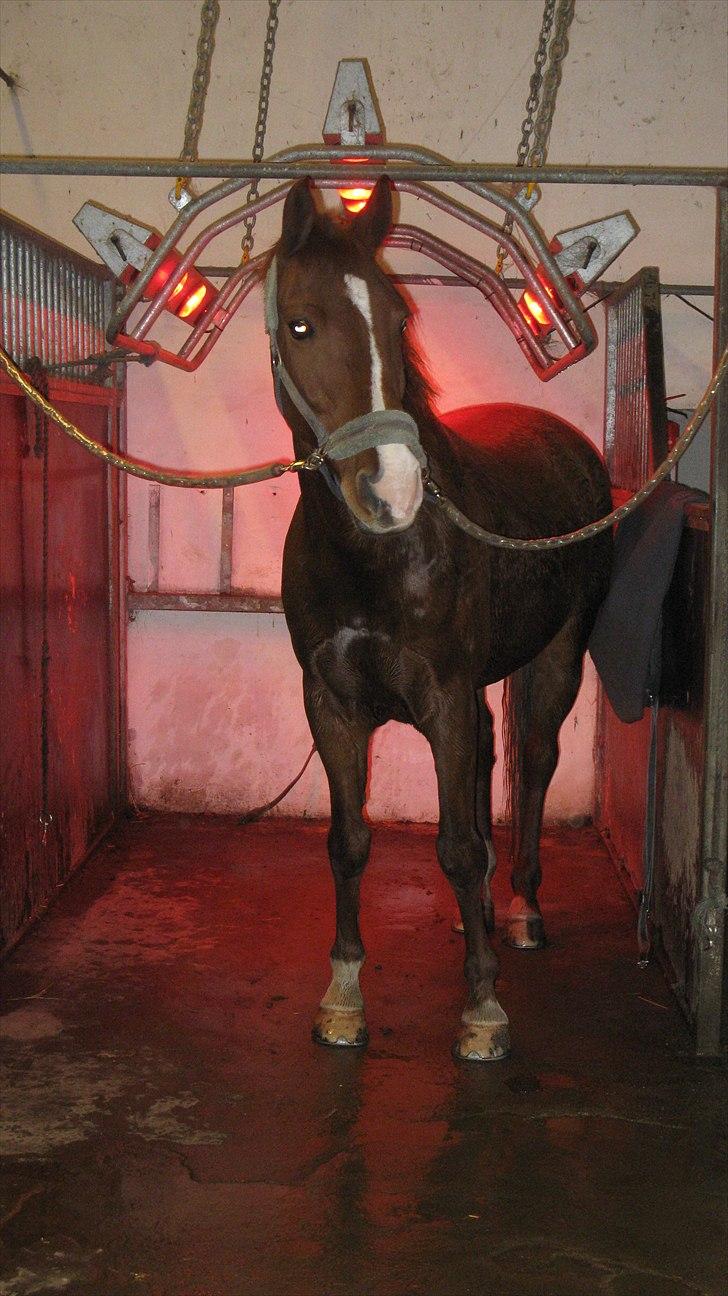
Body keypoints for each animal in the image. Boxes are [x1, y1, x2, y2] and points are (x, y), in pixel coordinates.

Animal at [267, 177, 613, 1062]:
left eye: (398, 322)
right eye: (301, 323)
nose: (391, 489)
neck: (377, 554)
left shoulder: (445, 701)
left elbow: (455, 846)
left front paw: (482, 1009)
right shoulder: (330, 705)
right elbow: (349, 842)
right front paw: (343, 996)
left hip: (556, 663)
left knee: (532, 769)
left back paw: (519, 913)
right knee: (494, 770)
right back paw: (481, 915)